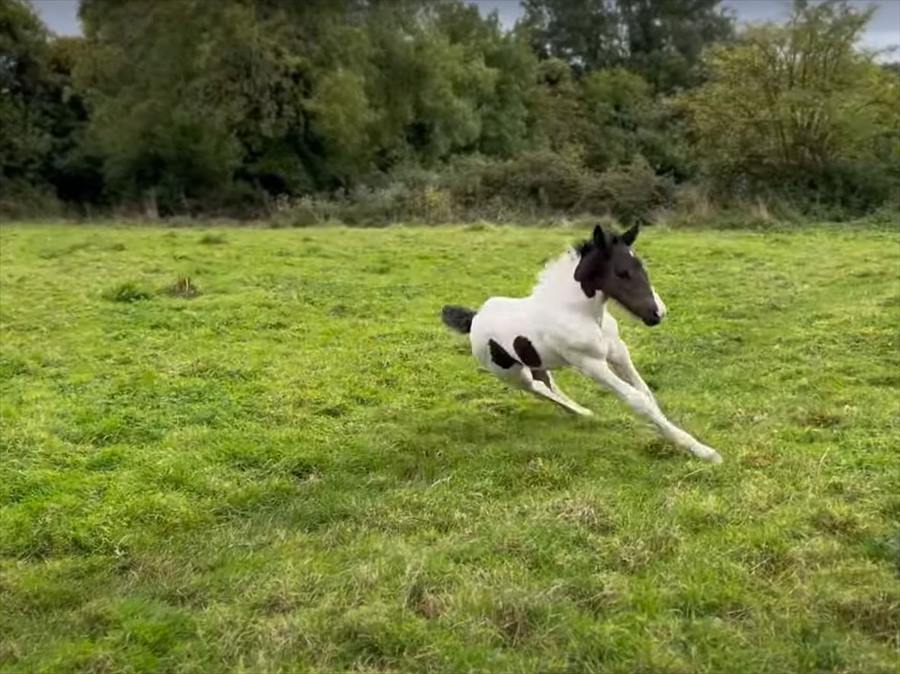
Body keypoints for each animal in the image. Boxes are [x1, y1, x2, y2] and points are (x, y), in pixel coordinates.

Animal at [442, 224, 724, 462]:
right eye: (622, 272)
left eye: (642, 266)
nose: (657, 313)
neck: (580, 313)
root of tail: (474, 318)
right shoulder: (591, 365)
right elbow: (638, 400)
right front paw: (702, 451)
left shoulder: (619, 353)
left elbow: (646, 393)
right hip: (511, 374)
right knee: (537, 388)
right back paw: (581, 412)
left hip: (536, 363)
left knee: (550, 385)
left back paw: (583, 412)